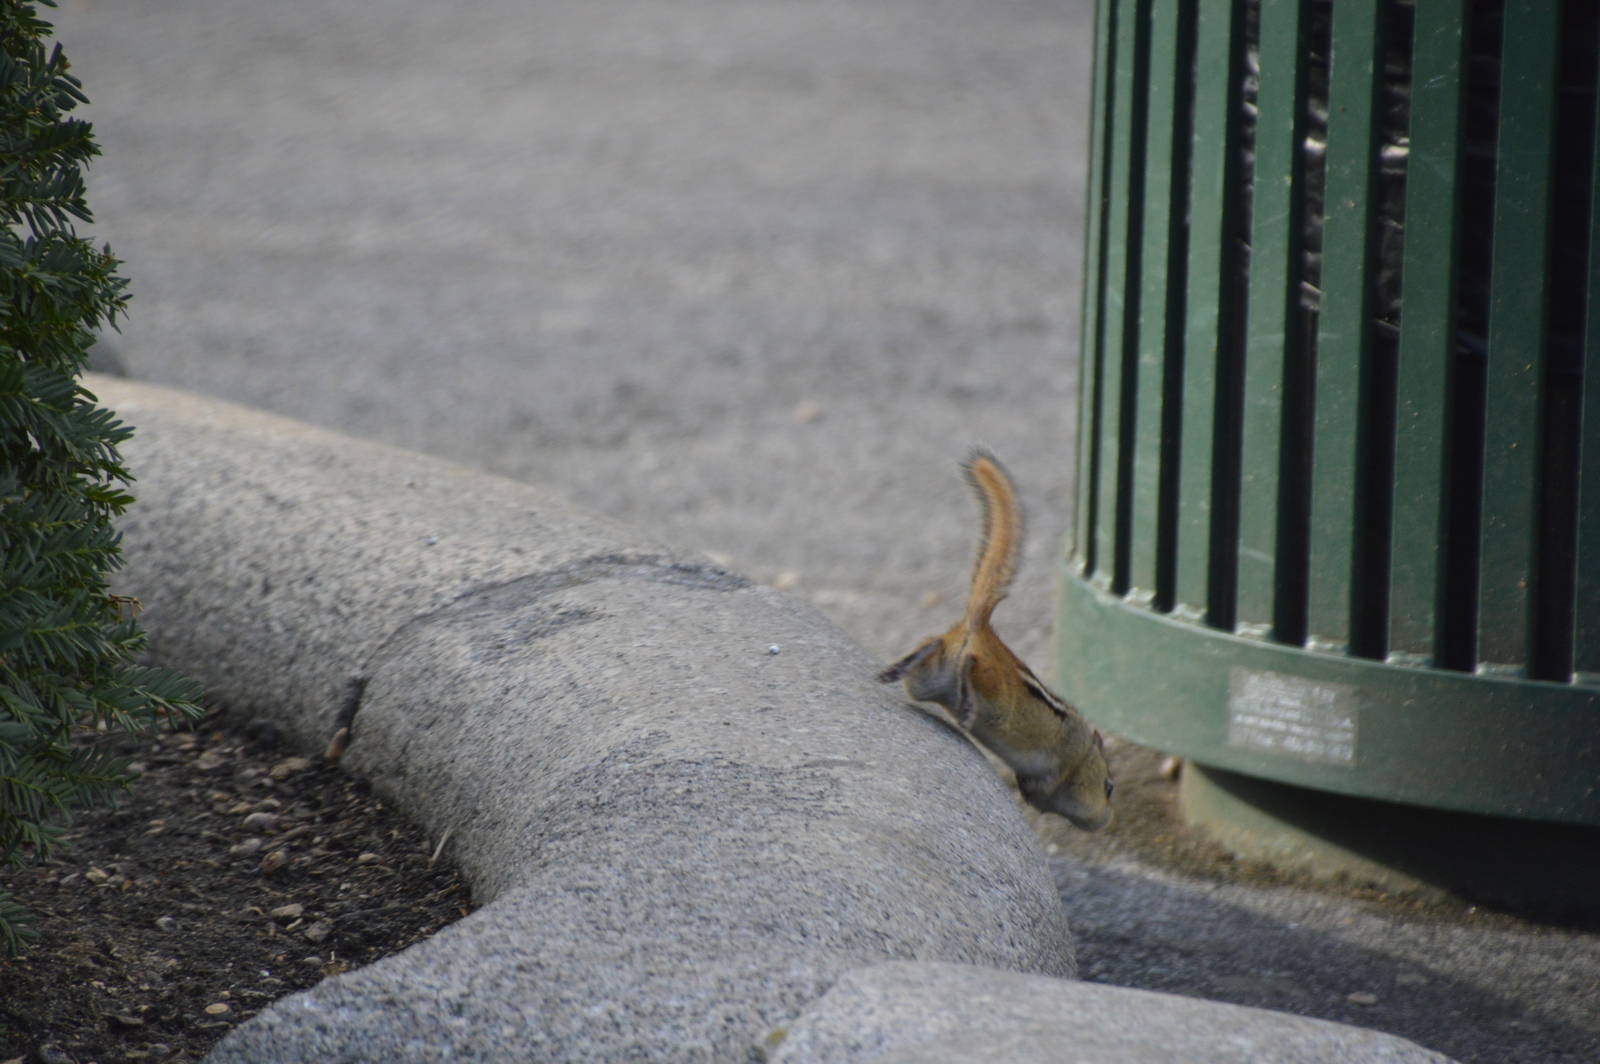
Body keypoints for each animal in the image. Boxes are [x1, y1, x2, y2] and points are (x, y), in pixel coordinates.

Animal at [879, 449, 1113, 831]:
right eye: (1109, 786)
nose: (1106, 820)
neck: (1083, 751)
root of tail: (981, 626)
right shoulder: (1064, 757)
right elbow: (1052, 777)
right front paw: (1037, 790)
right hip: (997, 693)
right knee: (972, 665)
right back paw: (967, 704)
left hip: (927, 679)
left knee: (933, 647)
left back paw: (896, 669)